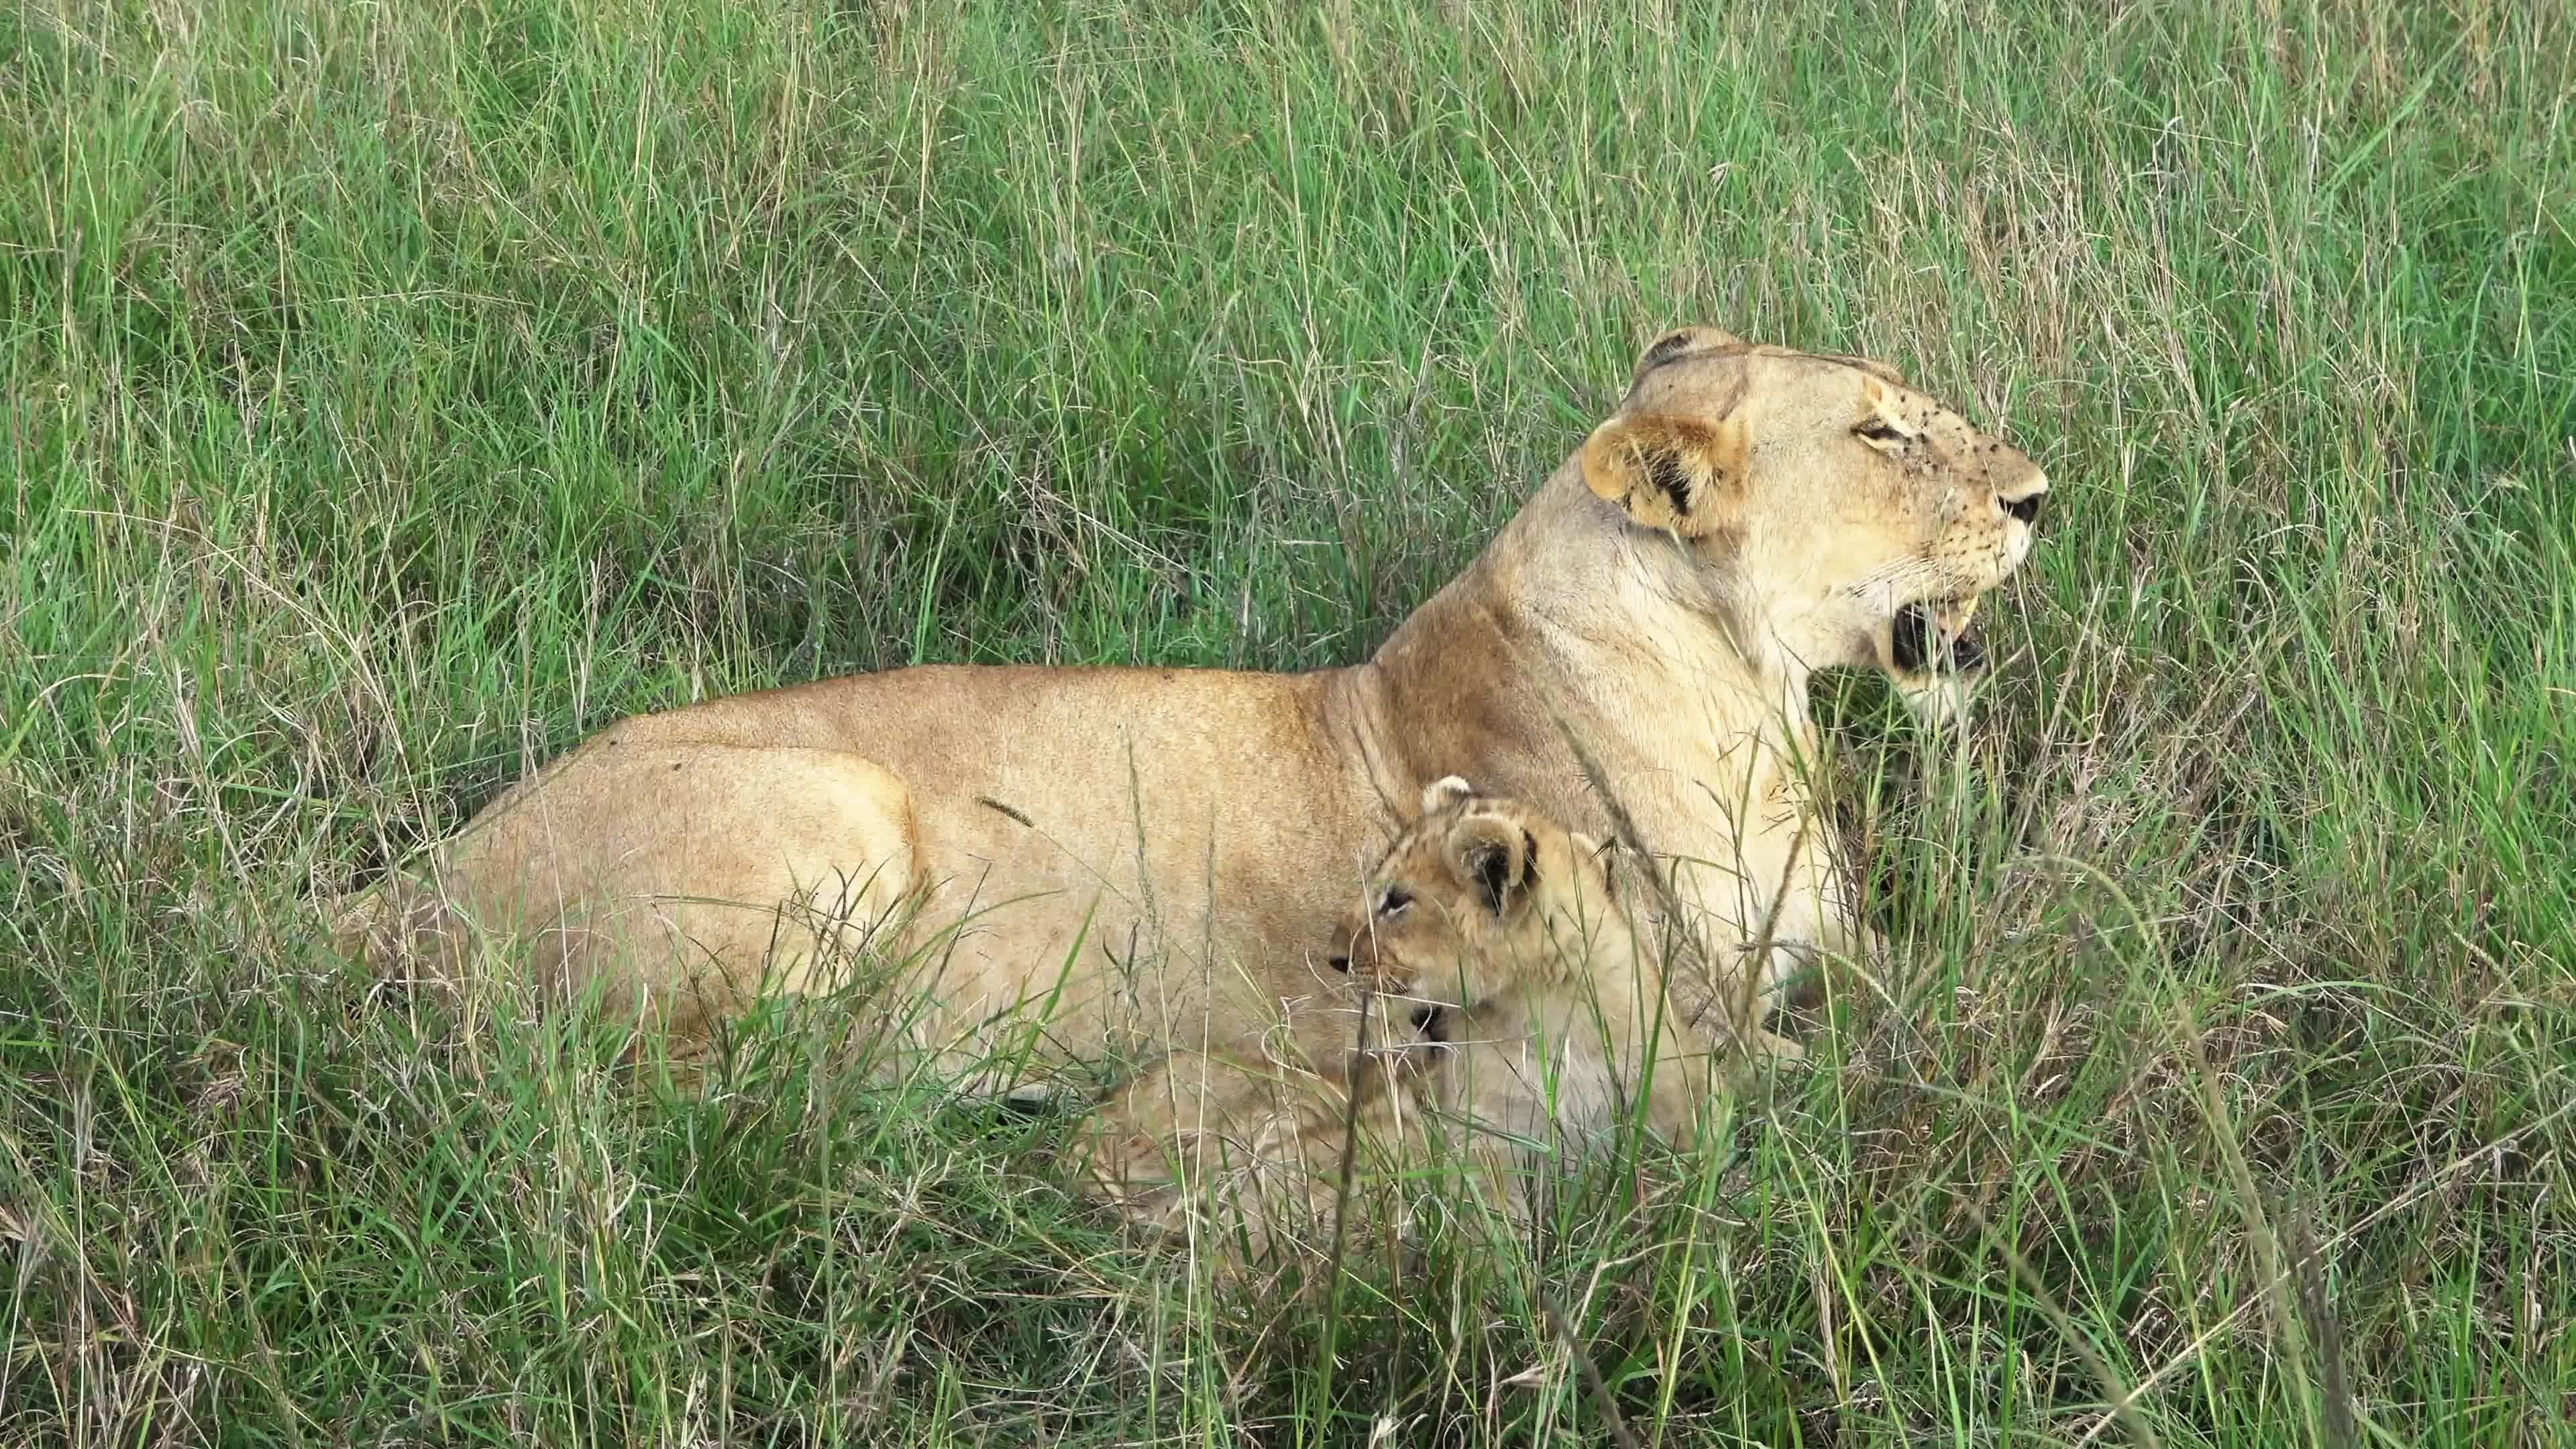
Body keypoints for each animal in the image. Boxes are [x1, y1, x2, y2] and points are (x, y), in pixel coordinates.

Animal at [334, 326, 2048, 1087]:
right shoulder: (1674, 1014)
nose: (2040, 494)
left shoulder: (1838, 956)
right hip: (828, 813)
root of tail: (407, 881)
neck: (1741, 693)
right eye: (1884, 431)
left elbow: (1967, 988)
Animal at [1074, 776, 1786, 1250]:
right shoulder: (1480, 1140)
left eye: (1397, 900)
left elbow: (1701, 1181)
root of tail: (1083, 1132)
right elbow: (1494, 1230)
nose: (1335, 958)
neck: (1554, 1017)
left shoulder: (1685, 1105)